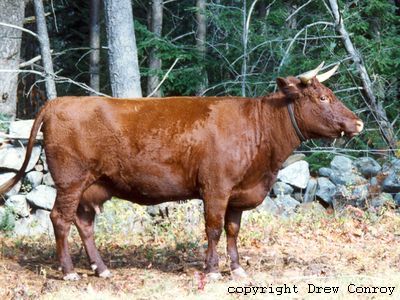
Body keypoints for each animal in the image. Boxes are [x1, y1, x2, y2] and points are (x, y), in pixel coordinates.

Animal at [0, 62, 362, 282]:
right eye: (322, 97)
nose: (358, 123)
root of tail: (57, 102)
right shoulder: (216, 187)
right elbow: (213, 229)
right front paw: (213, 270)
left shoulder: (238, 192)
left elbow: (233, 230)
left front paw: (237, 268)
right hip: (70, 180)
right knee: (60, 219)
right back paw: (69, 271)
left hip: (91, 186)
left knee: (84, 223)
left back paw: (100, 269)